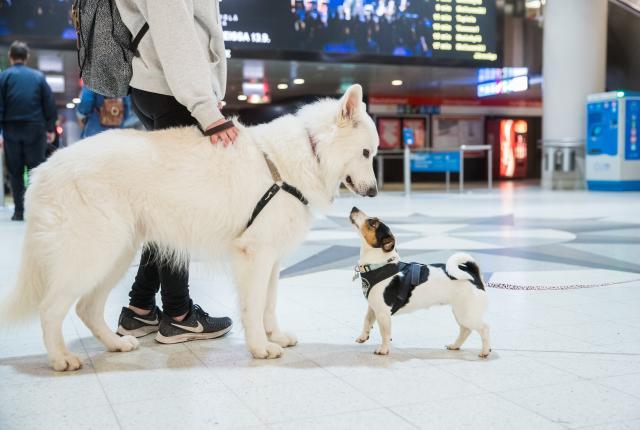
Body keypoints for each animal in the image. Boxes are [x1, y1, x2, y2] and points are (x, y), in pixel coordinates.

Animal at [3, 85, 380, 372]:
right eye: (365, 152)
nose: (375, 192)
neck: (309, 152)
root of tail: (44, 169)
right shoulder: (254, 256)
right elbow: (253, 306)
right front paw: (260, 347)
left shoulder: (271, 260)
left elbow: (269, 304)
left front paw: (274, 336)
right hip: (92, 254)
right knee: (51, 309)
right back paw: (61, 358)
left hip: (116, 254)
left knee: (86, 308)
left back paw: (115, 344)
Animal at [350, 207, 490, 358]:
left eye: (373, 223)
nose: (354, 208)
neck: (379, 264)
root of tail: (473, 273)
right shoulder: (373, 307)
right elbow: (367, 321)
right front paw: (363, 336)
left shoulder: (383, 312)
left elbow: (385, 333)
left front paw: (384, 349)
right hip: (460, 312)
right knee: (465, 330)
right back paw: (455, 346)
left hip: (467, 314)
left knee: (484, 328)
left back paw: (485, 351)